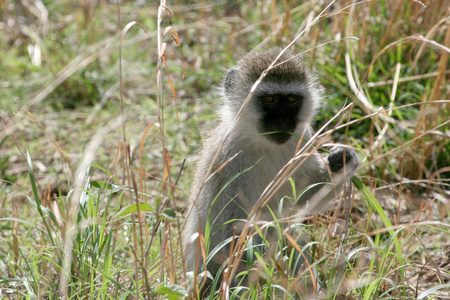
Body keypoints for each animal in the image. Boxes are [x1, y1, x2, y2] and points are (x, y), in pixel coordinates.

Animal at [182, 48, 358, 290]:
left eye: (292, 99)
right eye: (269, 99)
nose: (283, 121)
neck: (262, 143)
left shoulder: (302, 138)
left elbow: (302, 196)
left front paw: (342, 161)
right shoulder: (229, 156)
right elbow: (233, 229)